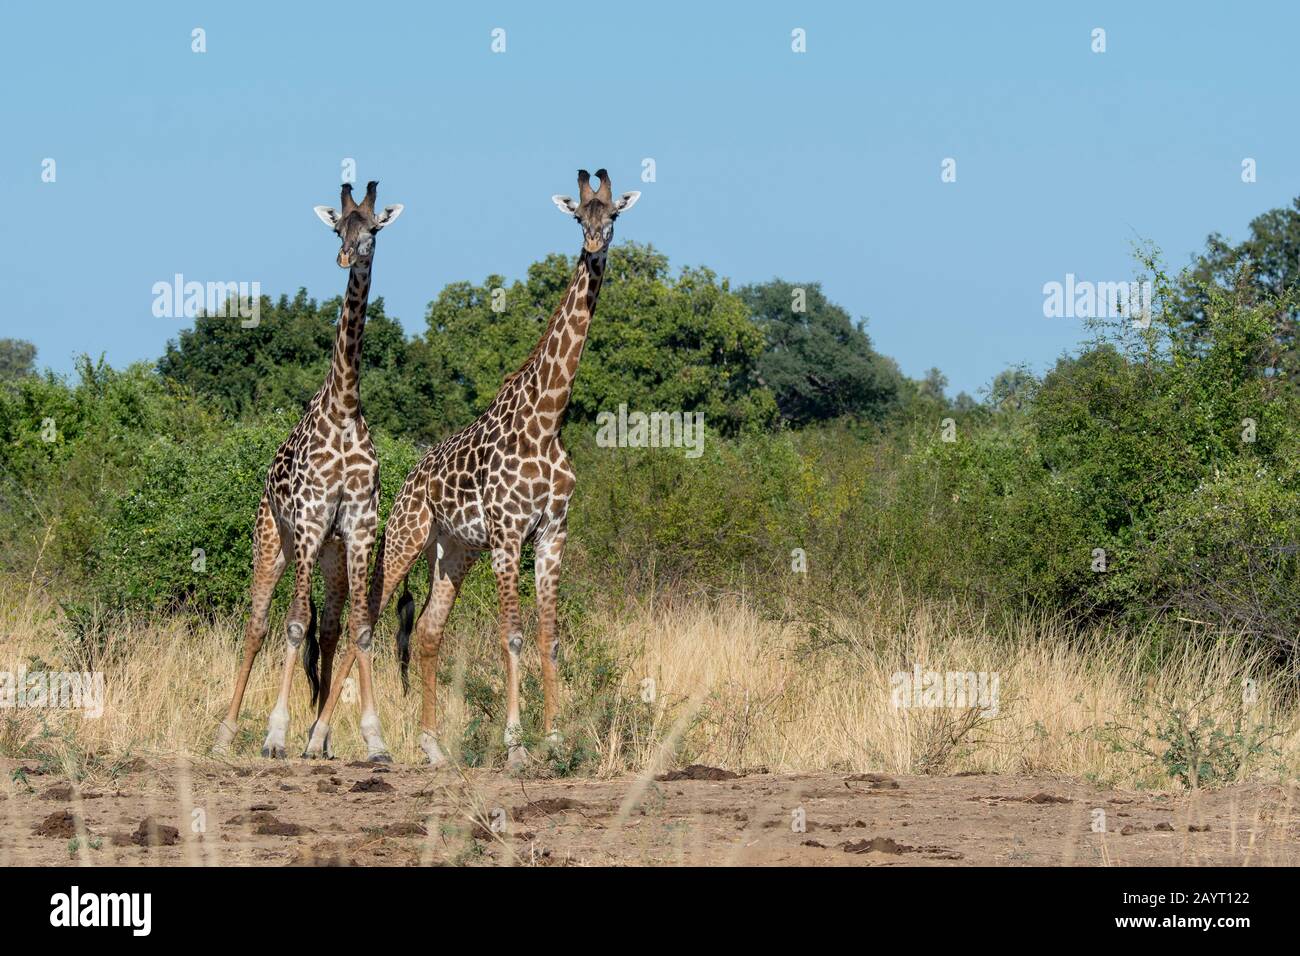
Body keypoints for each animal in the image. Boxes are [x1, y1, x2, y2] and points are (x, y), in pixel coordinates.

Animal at [214, 180, 403, 761]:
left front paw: (373, 740)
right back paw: (227, 733)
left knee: (333, 628)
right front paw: (275, 734)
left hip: (331, 556)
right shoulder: (309, 519)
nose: (346, 256)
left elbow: (361, 628)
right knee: (258, 624)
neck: (343, 408)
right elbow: (294, 624)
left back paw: (320, 741)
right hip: (275, 541)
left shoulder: (359, 529)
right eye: (338, 226)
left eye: (373, 228)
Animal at [306, 169, 639, 767]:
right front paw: (516, 746)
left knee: (429, 630)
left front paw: (555, 740)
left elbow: (550, 637)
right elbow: (512, 636)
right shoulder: (508, 535)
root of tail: (410, 478)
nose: (595, 243)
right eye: (579, 215)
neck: (548, 417)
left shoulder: (552, 534)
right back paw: (322, 736)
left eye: (614, 215)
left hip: (453, 551)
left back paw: (432, 746)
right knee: (368, 617)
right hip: (405, 539)